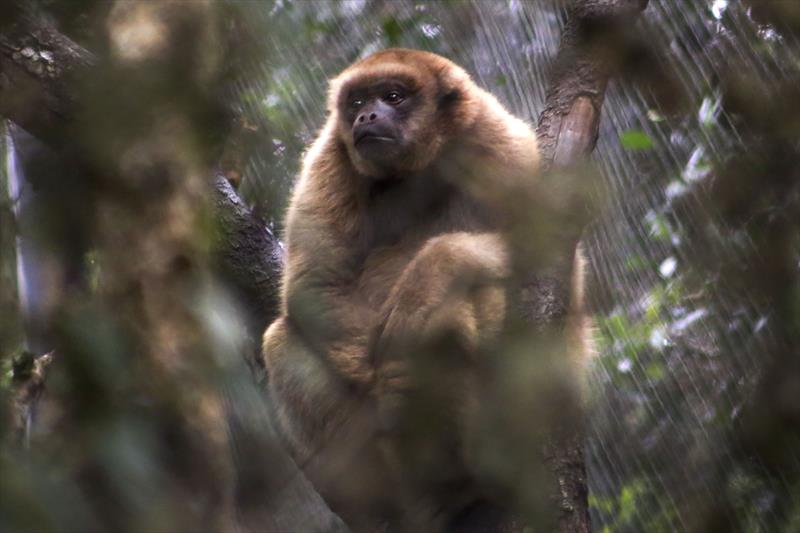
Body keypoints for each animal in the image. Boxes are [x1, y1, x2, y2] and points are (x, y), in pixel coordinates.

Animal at [260, 47, 588, 528]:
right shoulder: (329, 158)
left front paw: (436, 270)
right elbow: (315, 289)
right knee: (282, 338)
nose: (367, 116)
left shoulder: (501, 140)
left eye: (393, 96)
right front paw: (385, 389)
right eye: (357, 102)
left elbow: (555, 262)